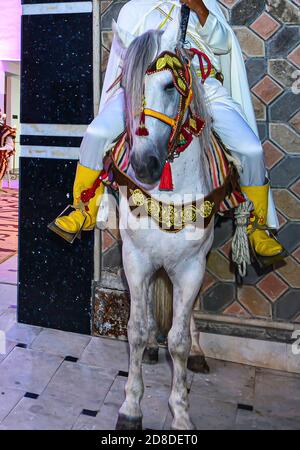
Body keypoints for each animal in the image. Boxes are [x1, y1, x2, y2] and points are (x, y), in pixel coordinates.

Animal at [113, 19, 216, 430]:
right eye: (126, 87)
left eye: (170, 85)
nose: (145, 165)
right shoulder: (136, 259)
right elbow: (137, 330)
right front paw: (130, 407)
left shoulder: (191, 266)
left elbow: (179, 341)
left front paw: (181, 412)